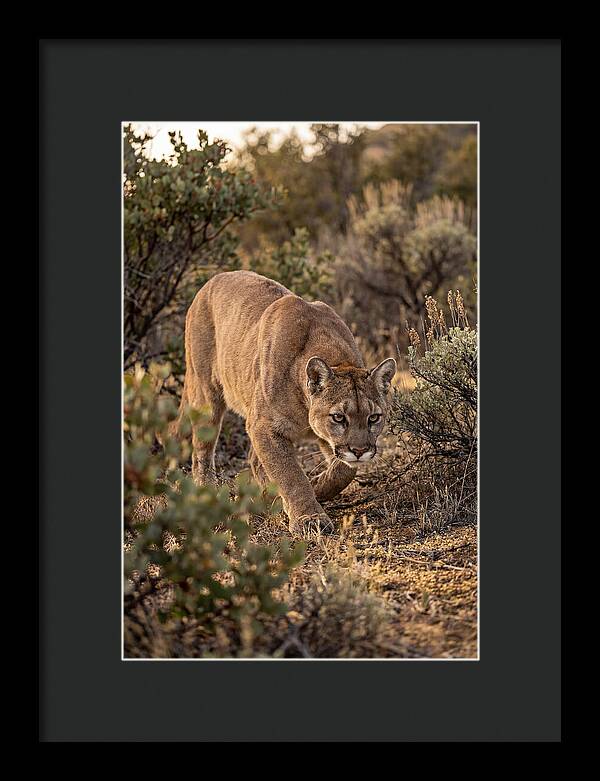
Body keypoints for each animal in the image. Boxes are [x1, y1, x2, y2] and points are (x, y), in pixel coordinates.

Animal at [172, 270, 396, 536]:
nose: (360, 451)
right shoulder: (264, 426)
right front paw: (309, 518)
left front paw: (317, 487)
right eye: (339, 417)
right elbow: (290, 474)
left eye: (374, 418)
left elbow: (344, 470)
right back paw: (208, 490)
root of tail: (212, 280)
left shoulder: (322, 438)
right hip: (207, 394)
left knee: (254, 459)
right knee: (202, 451)